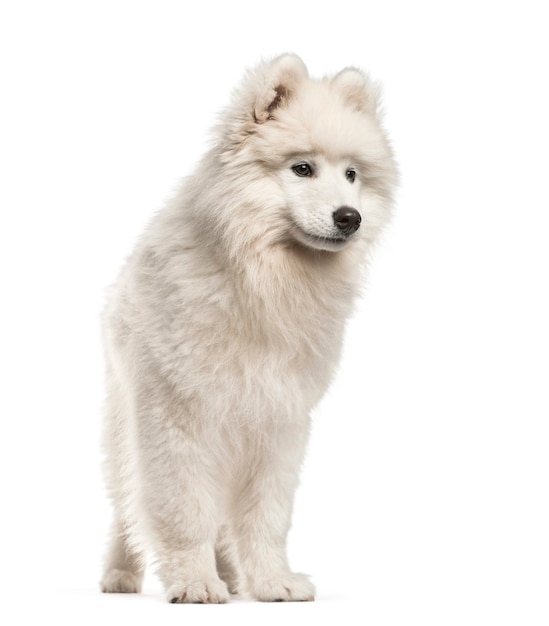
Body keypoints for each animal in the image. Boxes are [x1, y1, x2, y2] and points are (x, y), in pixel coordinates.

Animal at [99, 54, 394, 604]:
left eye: (351, 174)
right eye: (302, 168)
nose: (351, 217)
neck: (260, 279)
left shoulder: (277, 421)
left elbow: (265, 517)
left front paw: (272, 581)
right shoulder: (177, 417)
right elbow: (183, 508)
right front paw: (194, 581)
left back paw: (231, 576)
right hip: (123, 420)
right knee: (125, 507)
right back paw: (121, 574)